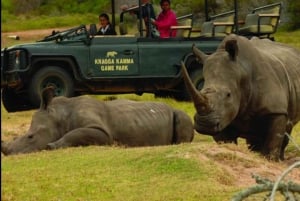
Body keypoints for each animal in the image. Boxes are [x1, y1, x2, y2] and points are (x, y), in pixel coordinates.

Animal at [1, 87, 193, 155]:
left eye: (31, 137)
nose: (9, 153)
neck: (59, 115)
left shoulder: (102, 132)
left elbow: (76, 133)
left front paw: (52, 145)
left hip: (179, 113)